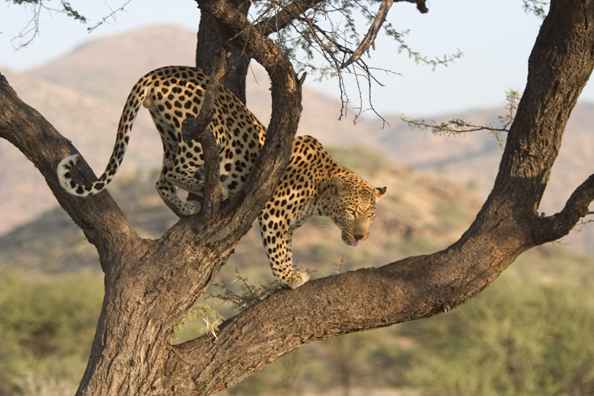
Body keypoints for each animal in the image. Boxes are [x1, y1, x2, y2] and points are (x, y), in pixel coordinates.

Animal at [56, 65, 384, 290]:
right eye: (352, 212)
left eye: (370, 216)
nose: (362, 236)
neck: (321, 192)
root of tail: (161, 70)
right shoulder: (274, 214)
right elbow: (277, 251)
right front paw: (289, 278)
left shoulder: (287, 224)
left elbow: (286, 248)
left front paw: (289, 275)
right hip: (202, 133)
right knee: (175, 171)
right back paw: (217, 191)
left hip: (170, 134)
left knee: (162, 179)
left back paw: (187, 207)